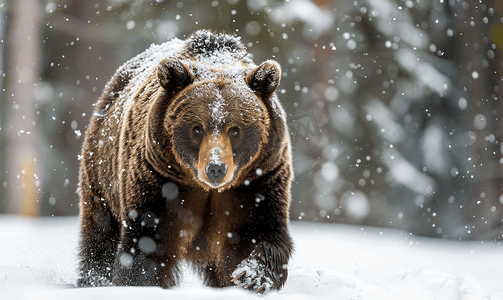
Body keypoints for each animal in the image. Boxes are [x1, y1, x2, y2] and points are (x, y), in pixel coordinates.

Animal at [77, 29, 294, 292]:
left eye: (235, 130)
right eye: (197, 128)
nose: (215, 168)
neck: (206, 188)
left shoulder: (257, 181)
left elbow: (259, 233)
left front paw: (252, 277)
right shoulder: (160, 180)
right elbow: (148, 240)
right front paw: (141, 282)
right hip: (101, 174)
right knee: (99, 235)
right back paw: (93, 280)